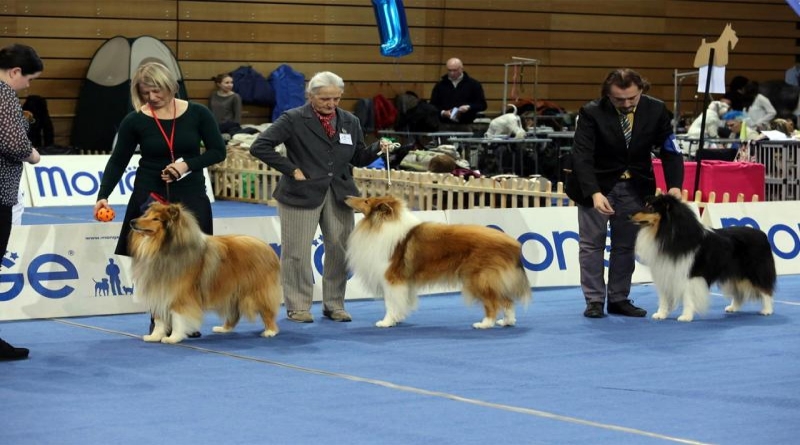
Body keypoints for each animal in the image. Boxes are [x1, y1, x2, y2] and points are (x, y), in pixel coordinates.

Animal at [130, 202, 282, 344]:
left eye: (156, 219)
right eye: (146, 215)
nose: (132, 221)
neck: (163, 248)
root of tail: (267, 247)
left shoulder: (179, 293)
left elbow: (178, 317)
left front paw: (173, 338)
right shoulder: (158, 289)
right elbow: (159, 319)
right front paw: (154, 336)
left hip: (257, 290)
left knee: (267, 311)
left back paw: (270, 331)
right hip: (232, 291)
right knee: (234, 314)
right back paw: (223, 328)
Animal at [344, 196, 532, 328]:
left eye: (367, 200)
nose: (347, 197)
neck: (381, 225)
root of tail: (513, 244)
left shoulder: (392, 279)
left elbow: (390, 303)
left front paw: (386, 322)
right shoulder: (404, 282)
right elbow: (401, 301)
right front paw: (397, 318)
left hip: (479, 278)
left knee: (493, 302)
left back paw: (485, 324)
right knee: (507, 301)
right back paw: (506, 322)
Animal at [632, 193, 776, 320]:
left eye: (651, 208)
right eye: (646, 205)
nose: (630, 216)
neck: (666, 233)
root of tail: (762, 234)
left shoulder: (689, 275)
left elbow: (687, 297)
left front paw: (685, 317)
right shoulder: (664, 272)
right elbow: (663, 298)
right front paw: (661, 314)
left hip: (755, 272)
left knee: (765, 290)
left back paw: (767, 310)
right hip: (735, 274)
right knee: (738, 293)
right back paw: (733, 308)